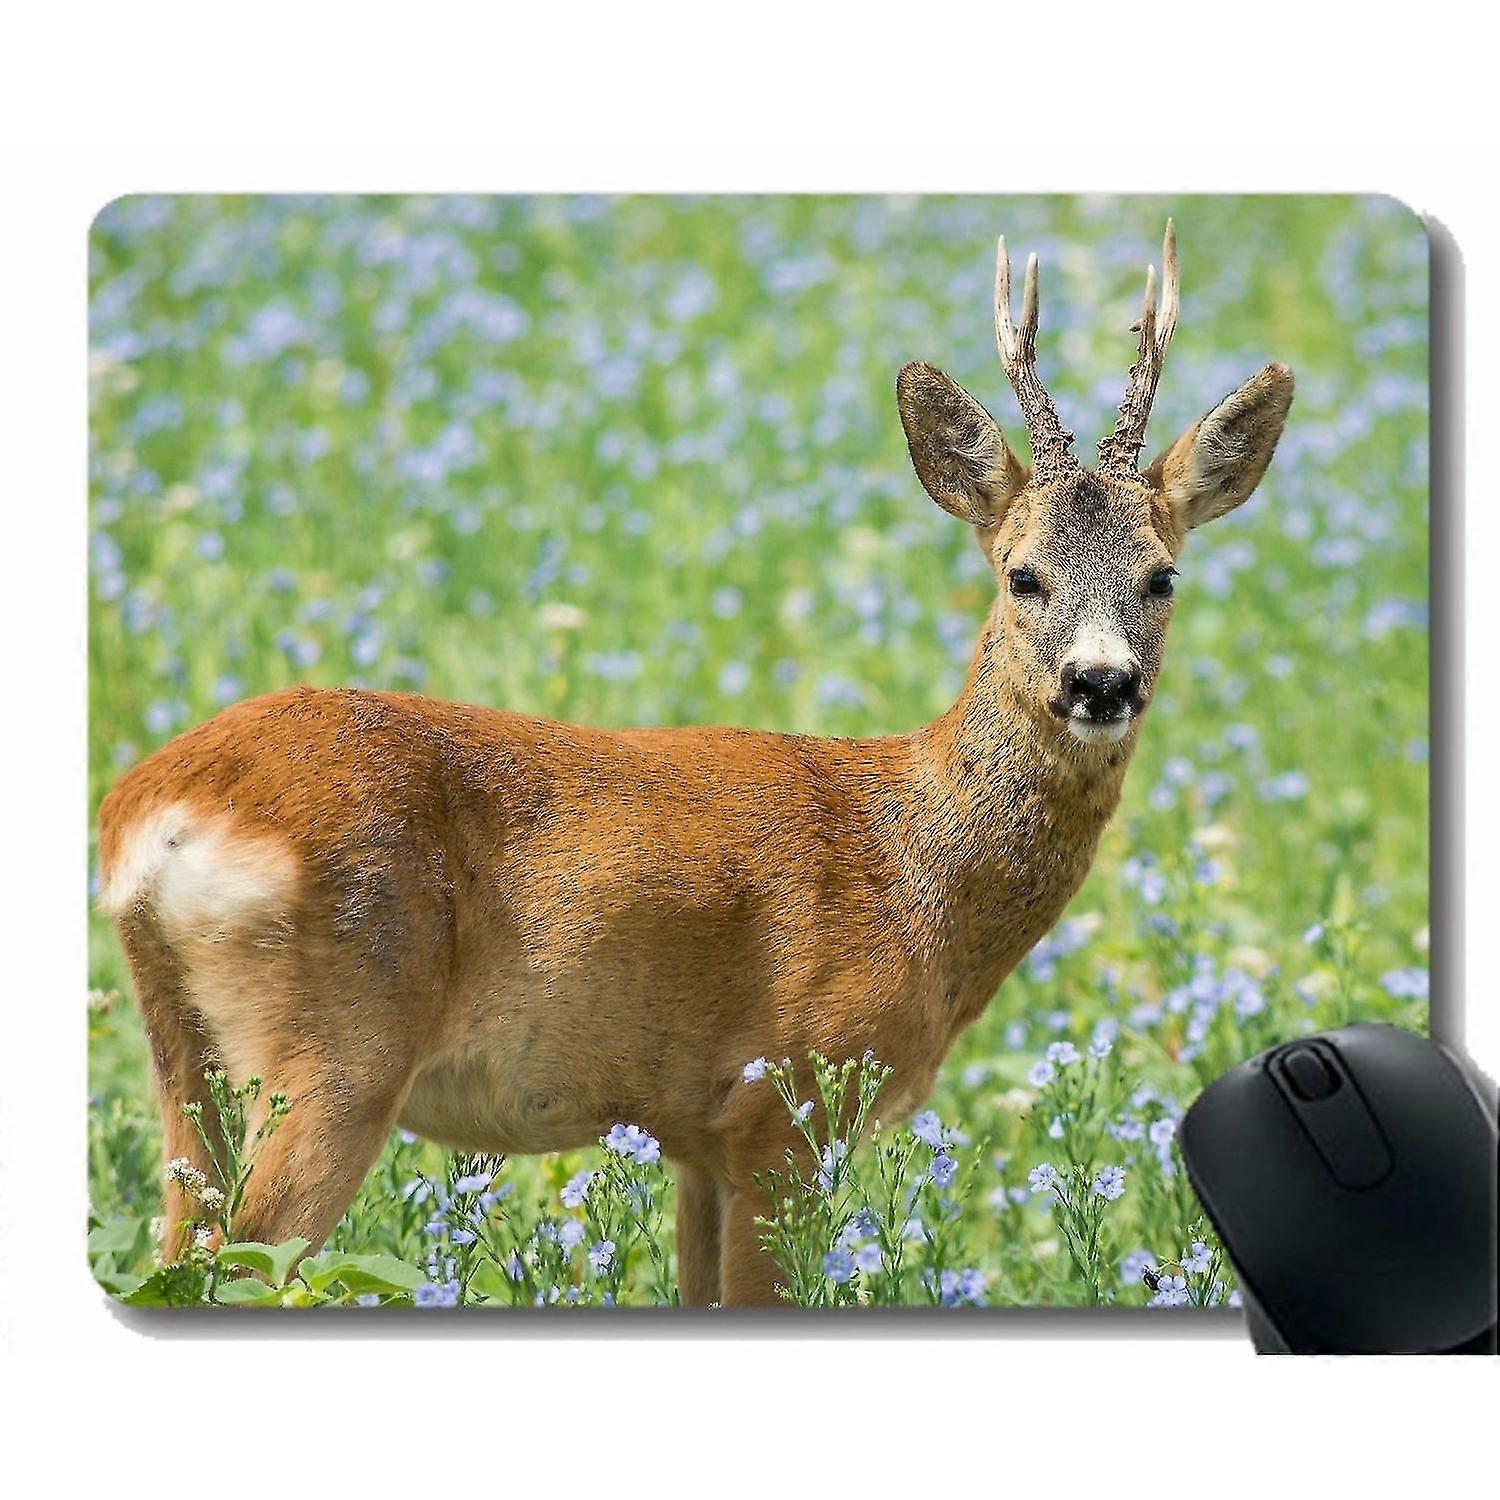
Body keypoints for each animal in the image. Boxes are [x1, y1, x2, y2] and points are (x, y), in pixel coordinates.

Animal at [97, 222, 1293, 1306]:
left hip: (187, 1054)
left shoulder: (693, 1138)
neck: (914, 865)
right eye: (1023, 574)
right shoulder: (787, 1102)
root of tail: (153, 814)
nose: (1101, 683)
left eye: (1162, 576)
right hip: (335, 1050)